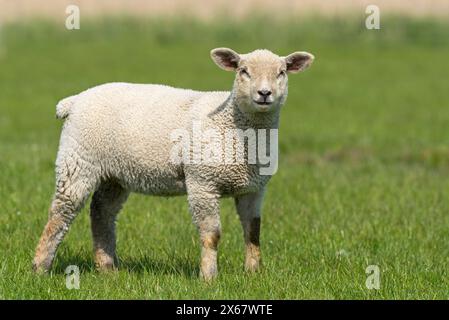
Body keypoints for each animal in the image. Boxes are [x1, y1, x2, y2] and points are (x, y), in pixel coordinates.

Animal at [32, 47, 312, 280]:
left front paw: (253, 273)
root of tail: (74, 101)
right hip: (78, 160)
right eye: (243, 71)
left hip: (114, 173)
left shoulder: (253, 188)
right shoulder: (202, 182)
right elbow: (211, 235)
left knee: (101, 212)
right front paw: (209, 276)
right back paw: (40, 267)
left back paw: (107, 268)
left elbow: (253, 231)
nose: (264, 94)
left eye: (282, 72)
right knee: (60, 213)